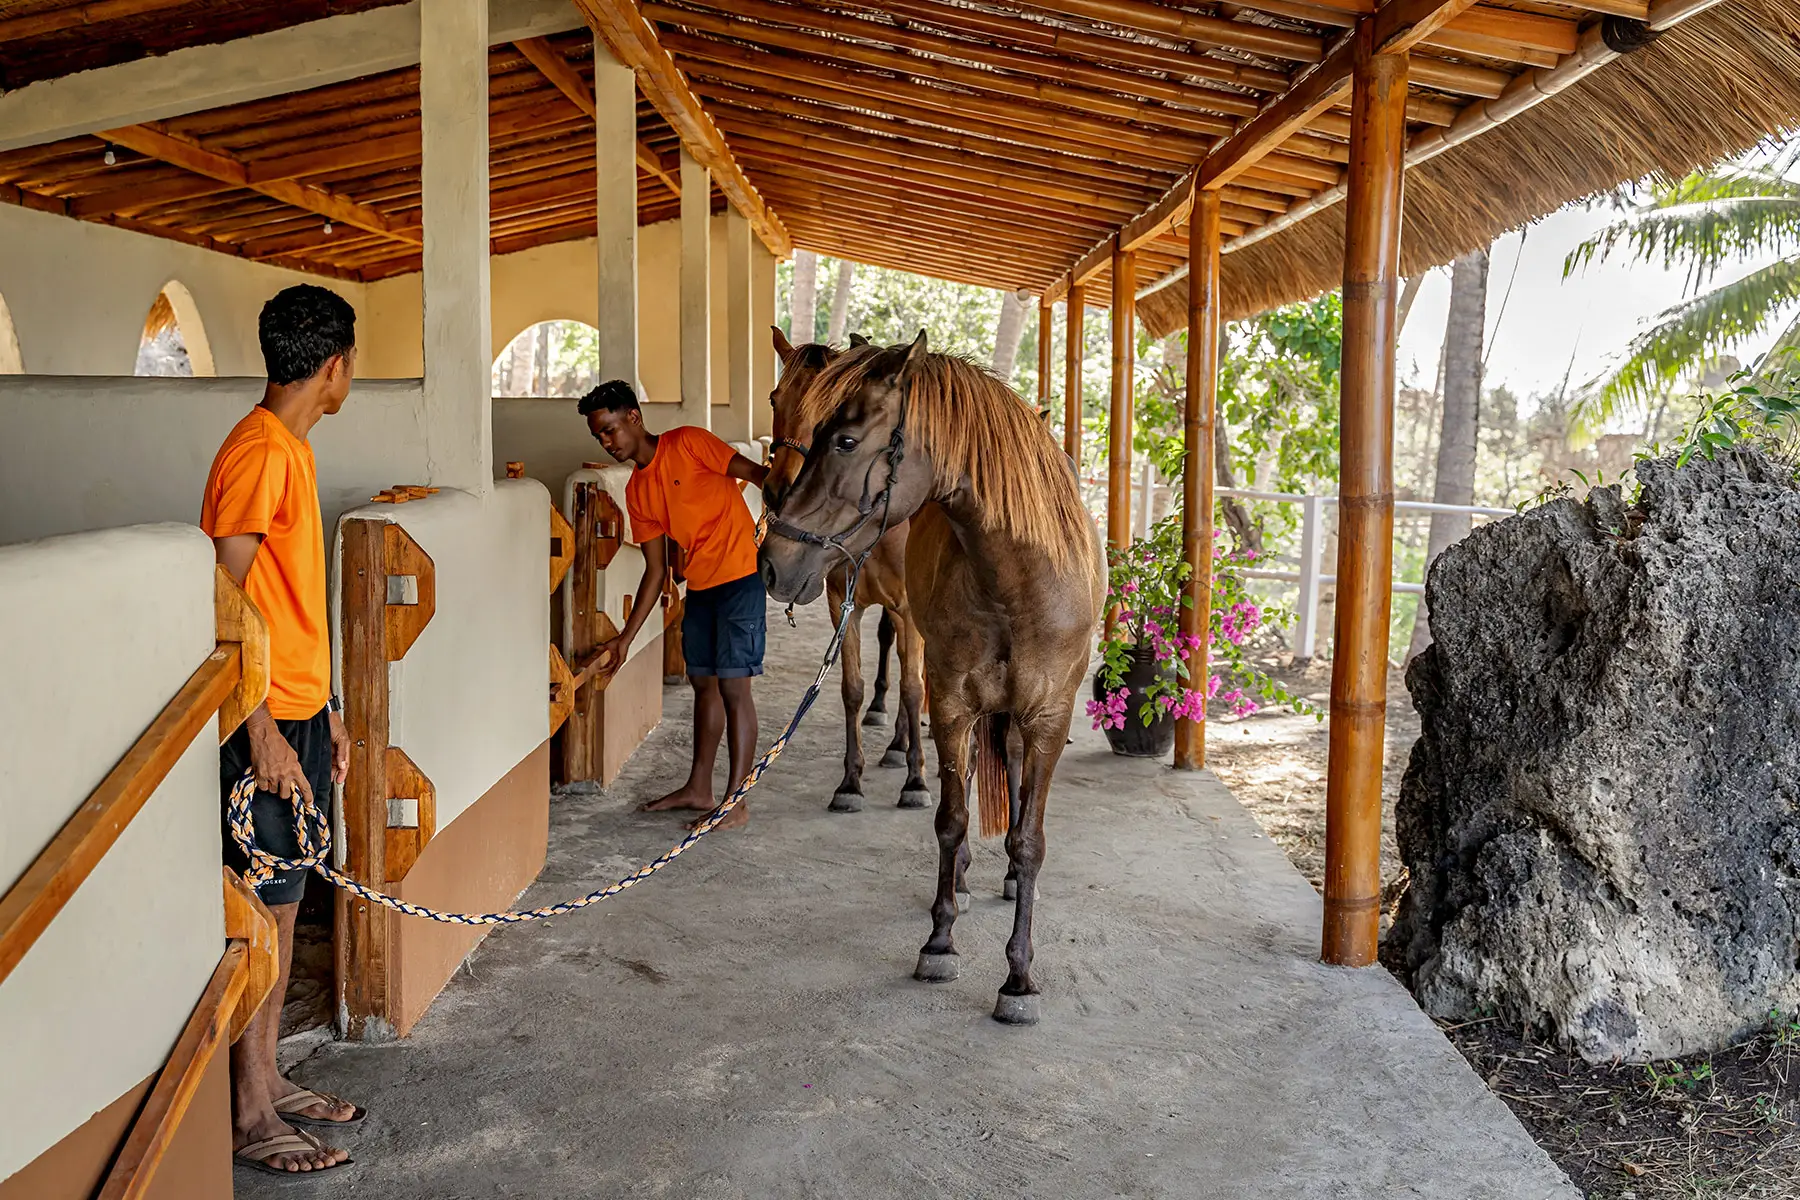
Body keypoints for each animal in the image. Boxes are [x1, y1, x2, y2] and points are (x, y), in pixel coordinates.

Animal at [767, 328, 930, 812]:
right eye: (775, 399)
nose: (777, 490)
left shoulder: (910, 609)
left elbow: (913, 688)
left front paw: (917, 780)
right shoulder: (846, 605)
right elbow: (852, 689)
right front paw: (849, 782)